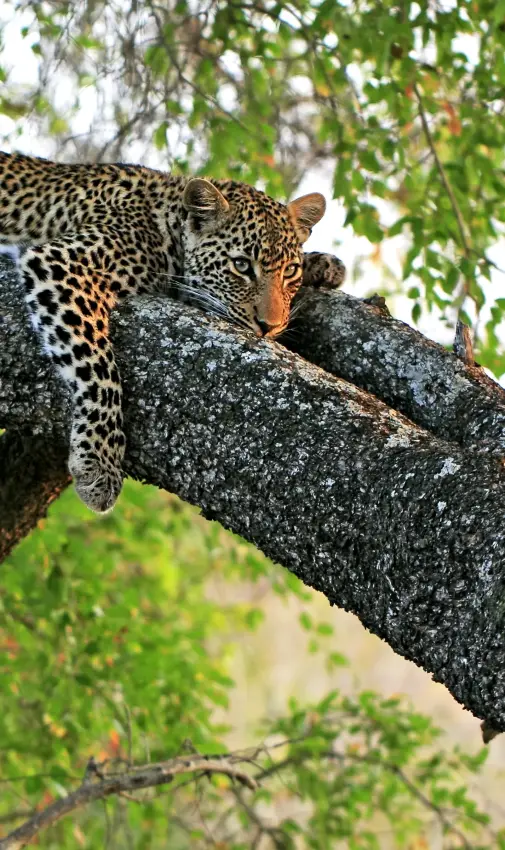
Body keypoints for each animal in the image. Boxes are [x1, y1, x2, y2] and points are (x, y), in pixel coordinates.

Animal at [0, 151, 346, 513]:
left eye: (289, 272)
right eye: (240, 266)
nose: (270, 326)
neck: (168, 222)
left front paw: (324, 263)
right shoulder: (62, 263)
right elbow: (99, 369)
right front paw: (100, 461)